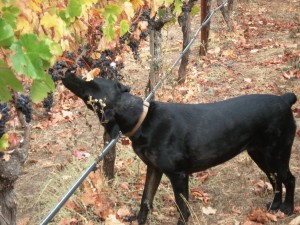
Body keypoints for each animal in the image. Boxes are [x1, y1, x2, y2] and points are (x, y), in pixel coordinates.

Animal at [62, 69, 296, 224]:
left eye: (90, 83)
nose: (66, 72)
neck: (142, 119)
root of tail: (285, 100)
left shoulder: (179, 175)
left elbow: (182, 208)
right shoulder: (154, 169)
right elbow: (145, 199)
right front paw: (138, 220)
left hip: (278, 153)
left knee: (289, 179)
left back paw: (287, 207)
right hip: (260, 154)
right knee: (275, 180)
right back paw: (274, 206)